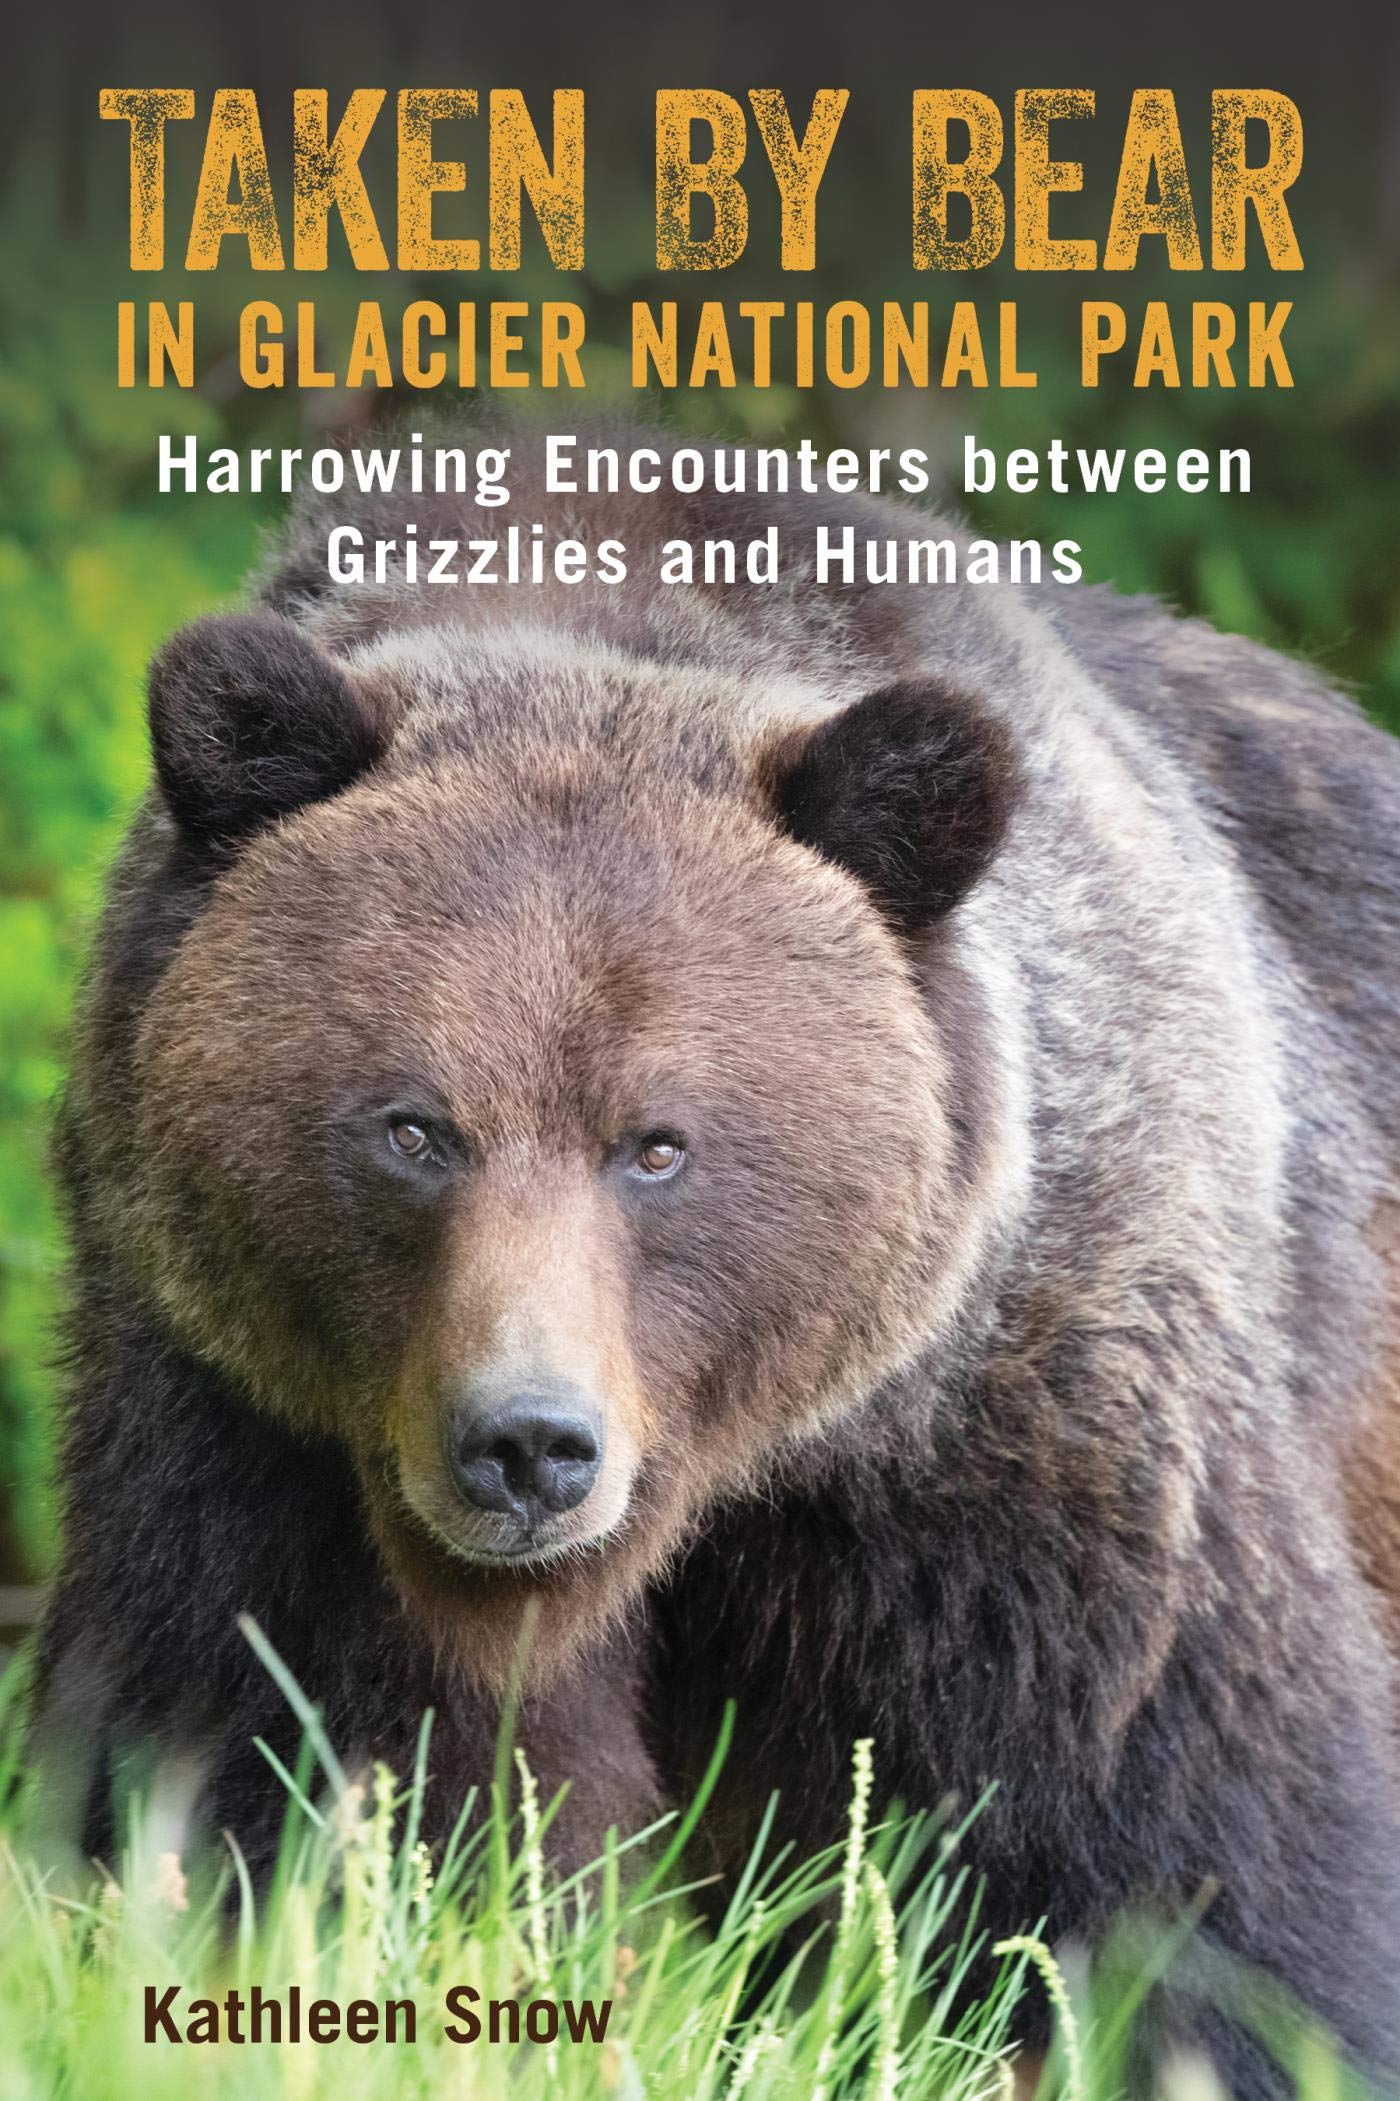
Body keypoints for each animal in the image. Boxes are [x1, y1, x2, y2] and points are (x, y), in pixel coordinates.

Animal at [29, 425, 1400, 2096]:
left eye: (658, 1143)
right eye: (414, 1127)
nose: (528, 1445)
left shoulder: (1023, 1408)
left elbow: (1164, 1837)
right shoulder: (252, 1421)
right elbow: (269, 1753)